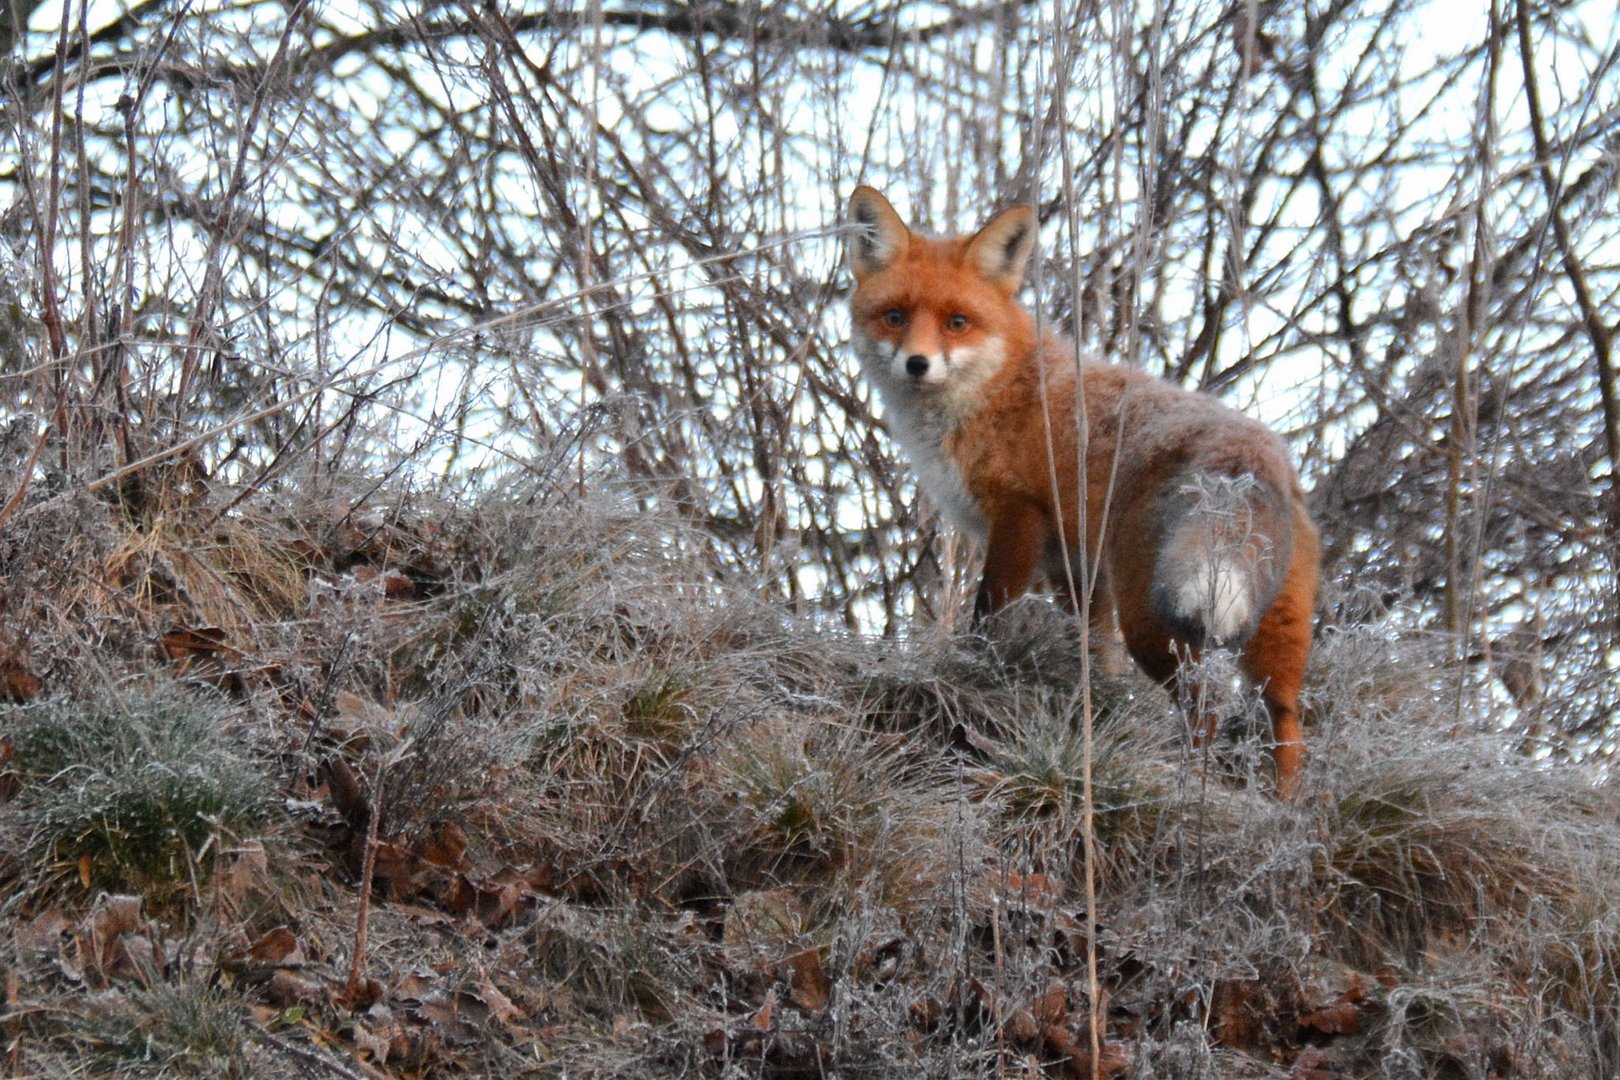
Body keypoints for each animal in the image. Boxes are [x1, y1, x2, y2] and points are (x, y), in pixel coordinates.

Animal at [848, 183, 1315, 793]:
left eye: (957, 321)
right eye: (895, 316)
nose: (917, 364)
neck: (998, 388)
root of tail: (1254, 450)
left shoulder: (1018, 516)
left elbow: (987, 615)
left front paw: (969, 673)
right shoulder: (1074, 564)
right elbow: (1092, 653)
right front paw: (1094, 712)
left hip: (1155, 618)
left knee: (1207, 703)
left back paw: (1191, 786)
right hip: (1275, 627)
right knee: (1286, 719)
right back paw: (1286, 806)